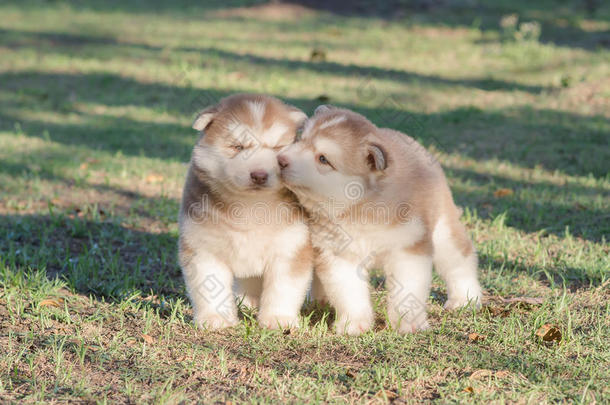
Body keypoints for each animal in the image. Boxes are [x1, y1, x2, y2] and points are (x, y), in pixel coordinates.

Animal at [175, 94, 308, 328]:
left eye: (277, 148)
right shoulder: (204, 247)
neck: (250, 206)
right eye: (237, 146)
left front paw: (278, 319)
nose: (260, 175)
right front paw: (215, 319)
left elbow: (284, 289)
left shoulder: (291, 246)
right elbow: (210, 285)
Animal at [276, 104, 480, 334]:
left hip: (444, 231)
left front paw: (407, 324)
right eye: (300, 140)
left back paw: (466, 299)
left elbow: (408, 292)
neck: (361, 209)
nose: (280, 160)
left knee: (460, 261)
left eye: (323, 159)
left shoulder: (408, 250)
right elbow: (349, 293)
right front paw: (353, 324)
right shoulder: (339, 254)